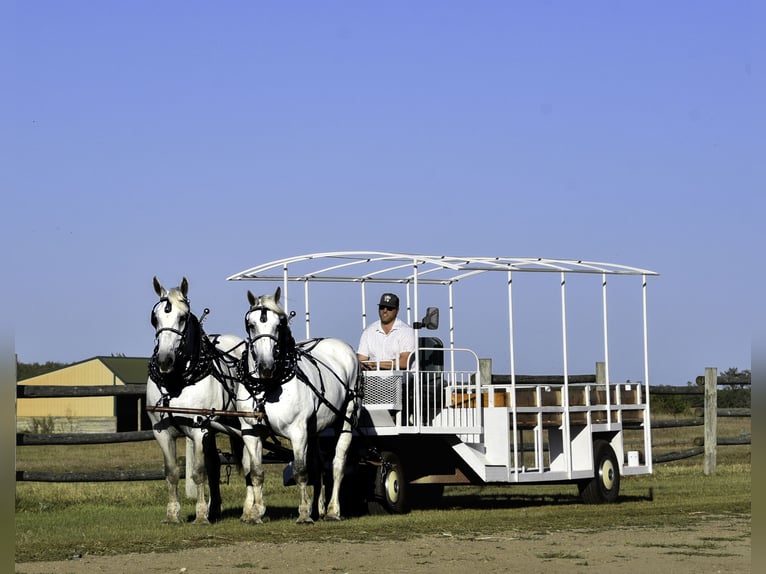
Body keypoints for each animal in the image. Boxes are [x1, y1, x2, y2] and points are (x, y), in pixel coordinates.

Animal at [147, 280, 246, 528]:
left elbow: (199, 471)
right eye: (154, 318)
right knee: (214, 464)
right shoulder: (161, 432)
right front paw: (172, 515)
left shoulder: (199, 429)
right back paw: (215, 509)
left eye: (182, 317)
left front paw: (200, 515)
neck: (176, 382)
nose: (164, 360)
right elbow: (172, 472)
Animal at [238, 288, 362, 528]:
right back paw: (319, 509)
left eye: (280, 324)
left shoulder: (297, 431)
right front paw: (257, 513)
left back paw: (332, 510)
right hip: (314, 429)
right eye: (251, 324)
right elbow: (256, 473)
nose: (266, 367)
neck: (268, 385)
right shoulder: (251, 432)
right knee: (319, 465)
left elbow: (300, 471)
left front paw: (304, 514)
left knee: (337, 465)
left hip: (346, 419)